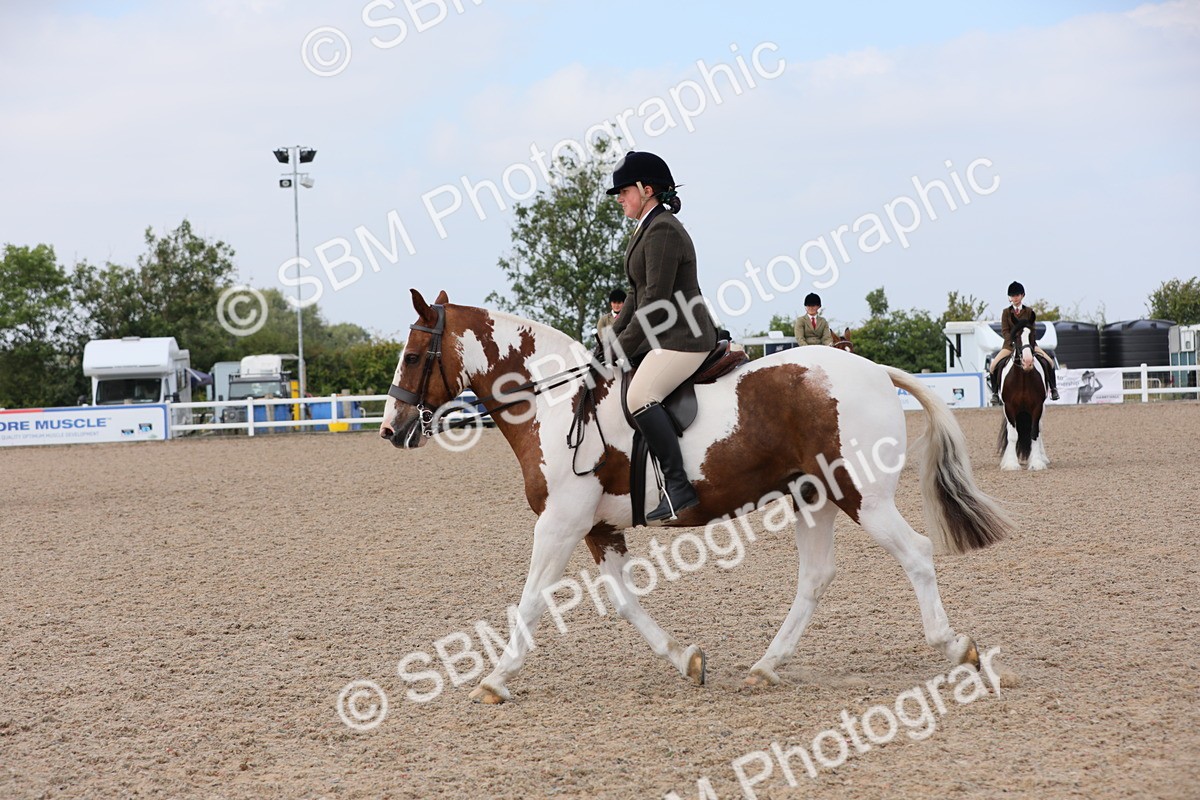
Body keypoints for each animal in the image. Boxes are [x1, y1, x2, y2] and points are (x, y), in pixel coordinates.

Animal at [380, 290, 1012, 704]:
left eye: (411, 356)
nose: (390, 430)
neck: (557, 401)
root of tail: (876, 371)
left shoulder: (559, 524)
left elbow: (532, 601)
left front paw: (494, 679)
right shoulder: (597, 528)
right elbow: (625, 602)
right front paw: (687, 660)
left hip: (863, 497)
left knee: (917, 554)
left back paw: (956, 648)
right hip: (814, 497)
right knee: (815, 577)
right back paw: (765, 667)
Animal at [996, 318, 1050, 471]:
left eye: (1033, 335)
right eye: (1016, 337)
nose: (1027, 362)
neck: (1023, 378)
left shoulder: (1037, 407)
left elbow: (1034, 433)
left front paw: (1037, 462)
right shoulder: (1009, 408)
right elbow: (1013, 436)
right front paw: (1011, 464)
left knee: (1040, 429)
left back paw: (1043, 458)